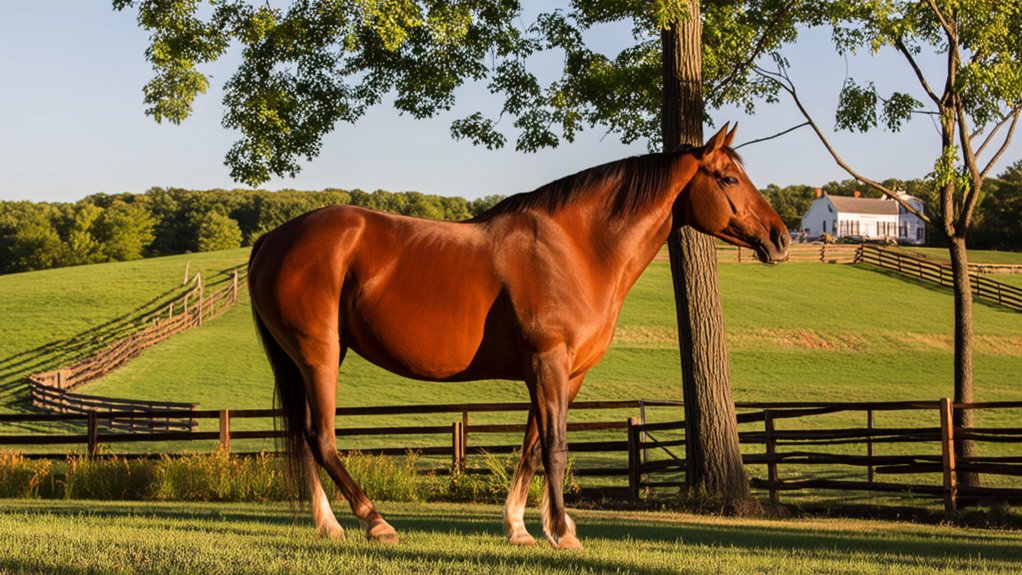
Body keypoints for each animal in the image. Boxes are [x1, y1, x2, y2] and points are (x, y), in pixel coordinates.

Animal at [247, 124, 789, 550]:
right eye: (729, 178)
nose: (780, 238)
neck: (577, 248)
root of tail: (273, 239)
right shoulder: (548, 363)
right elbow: (556, 447)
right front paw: (564, 533)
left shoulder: (562, 374)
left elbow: (531, 448)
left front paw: (522, 528)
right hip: (318, 355)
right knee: (321, 438)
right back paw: (375, 523)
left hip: (312, 359)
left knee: (305, 436)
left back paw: (329, 525)